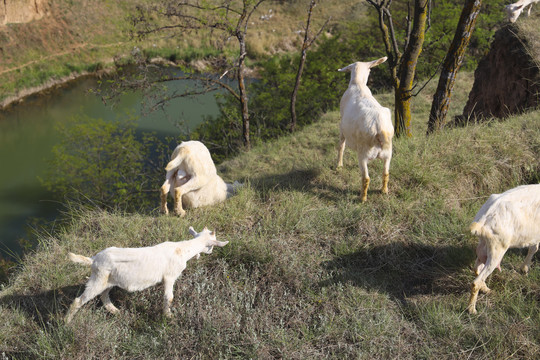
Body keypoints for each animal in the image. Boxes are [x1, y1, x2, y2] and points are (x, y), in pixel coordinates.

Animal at [65, 226, 228, 322]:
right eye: (212, 244)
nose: (210, 252)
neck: (182, 250)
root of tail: (93, 259)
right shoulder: (170, 276)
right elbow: (169, 297)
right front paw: (168, 316)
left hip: (107, 281)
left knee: (104, 296)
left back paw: (115, 311)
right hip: (98, 279)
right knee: (79, 301)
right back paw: (66, 322)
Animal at [336, 57, 394, 201]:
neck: (358, 84)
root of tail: (380, 129)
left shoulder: (342, 127)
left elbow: (341, 146)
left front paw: (339, 166)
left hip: (363, 154)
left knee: (366, 178)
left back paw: (362, 199)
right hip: (388, 154)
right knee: (386, 173)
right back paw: (384, 191)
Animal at [466, 184, 536, 314]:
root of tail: (482, 222)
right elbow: (533, 249)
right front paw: (524, 269)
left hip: (484, 247)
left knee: (477, 269)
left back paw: (486, 290)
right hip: (497, 249)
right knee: (475, 282)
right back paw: (472, 309)